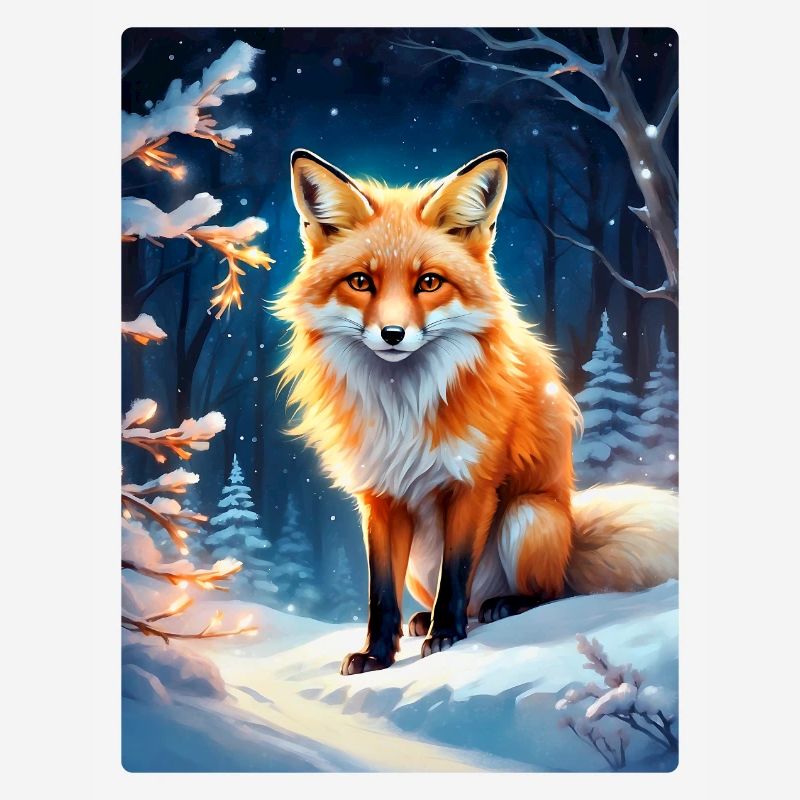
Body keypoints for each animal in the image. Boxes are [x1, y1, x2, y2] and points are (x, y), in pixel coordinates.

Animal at [274, 148, 678, 675]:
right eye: (360, 281)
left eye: (429, 282)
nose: (392, 335)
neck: (403, 408)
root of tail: (572, 533)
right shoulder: (379, 497)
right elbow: (380, 594)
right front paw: (377, 654)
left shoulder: (473, 484)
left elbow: (457, 574)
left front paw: (446, 637)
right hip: (422, 565)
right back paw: (431, 620)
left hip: (528, 515)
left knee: (550, 592)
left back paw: (502, 606)